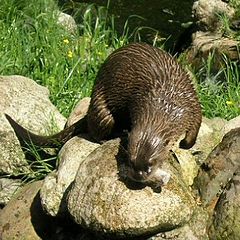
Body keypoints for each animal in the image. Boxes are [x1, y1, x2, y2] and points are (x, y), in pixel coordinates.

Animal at [5, 43, 201, 188]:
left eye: (151, 163)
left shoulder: (191, 104)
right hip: (103, 111)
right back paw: (111, 136)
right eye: (130, 159)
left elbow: (194, 129)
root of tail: (90, 109)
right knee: (95, 131)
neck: (167, 103)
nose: (138, 176)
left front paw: (184, 145)